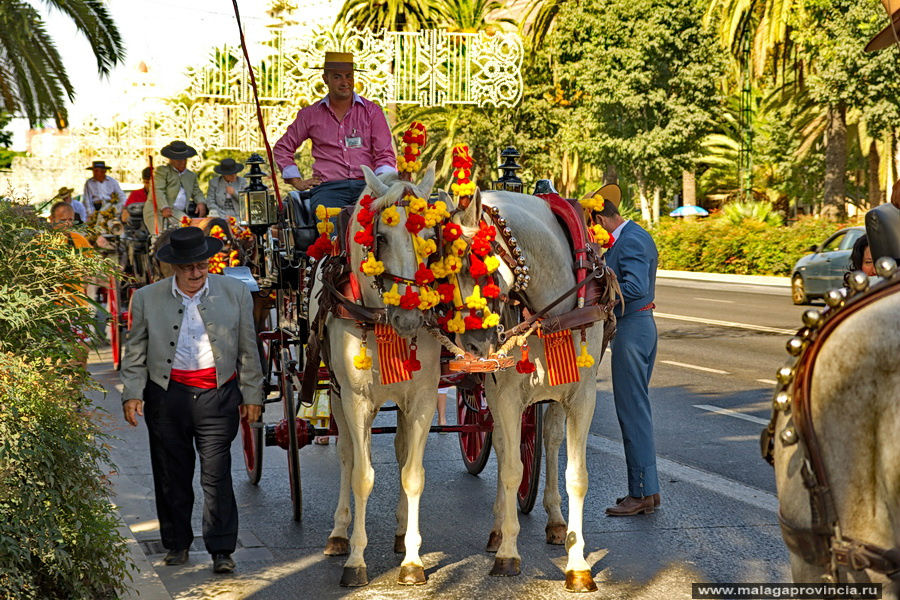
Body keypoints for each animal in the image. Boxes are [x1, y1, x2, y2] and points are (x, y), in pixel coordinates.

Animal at [310, 164, 442, 584]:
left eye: (430, 238)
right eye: (380, 237)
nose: (410, 317)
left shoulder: (422, 398)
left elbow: (413, 474)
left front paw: (413, 561)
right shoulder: (356, 399)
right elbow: (362, 475)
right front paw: (356, 559)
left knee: (400, 452)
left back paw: (401, 534)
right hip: (336, 394)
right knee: (346, 456)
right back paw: (339, 533)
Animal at [450, 190, 612, 592]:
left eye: (481, 267)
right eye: (442, 277)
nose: (473, 347)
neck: (550, 310)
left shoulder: (582, 396)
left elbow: (576, 475)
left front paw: (577, 563)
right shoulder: (505, 396)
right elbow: (511, 469)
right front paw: (508, 552)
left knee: (550, 440)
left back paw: (555, 521)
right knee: (504, 447)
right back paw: (497, 531)